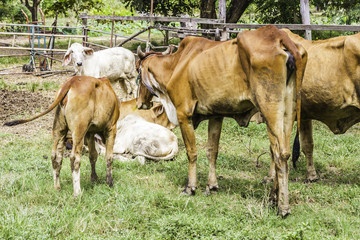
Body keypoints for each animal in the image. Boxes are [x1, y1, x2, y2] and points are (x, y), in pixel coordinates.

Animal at [135, 25, 306, 217]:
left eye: (137, 70)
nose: (140, 103)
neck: (175, 65)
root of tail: (280, 36)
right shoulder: (216, 115)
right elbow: (212, 151)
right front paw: (212, 186)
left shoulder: (183, 114)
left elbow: (192, 152)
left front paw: (190, 187)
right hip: (288, 111)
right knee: (283, 152)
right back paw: (273, 198)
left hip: (270, 109)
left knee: (279, 154)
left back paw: (282, 206)